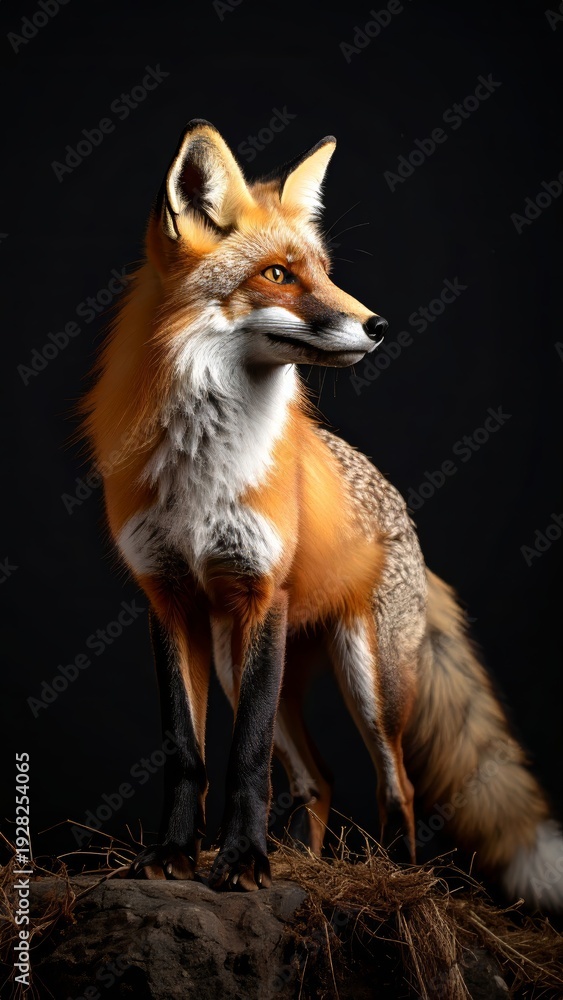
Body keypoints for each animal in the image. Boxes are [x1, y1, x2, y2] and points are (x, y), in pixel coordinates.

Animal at [83, 119, 562, 905]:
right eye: (278, 274)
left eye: (326, 271)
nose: (379, 324)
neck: (202, 463)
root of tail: (403, 514)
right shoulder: (168, 598)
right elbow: (187, 752)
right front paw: (178, 856)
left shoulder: (260, 594)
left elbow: (244, 758)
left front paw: (243, 864)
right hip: (236, 659)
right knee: (319, 780)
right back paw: (306, 865)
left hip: (369, 682)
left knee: (395, 785)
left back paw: (397, 879)